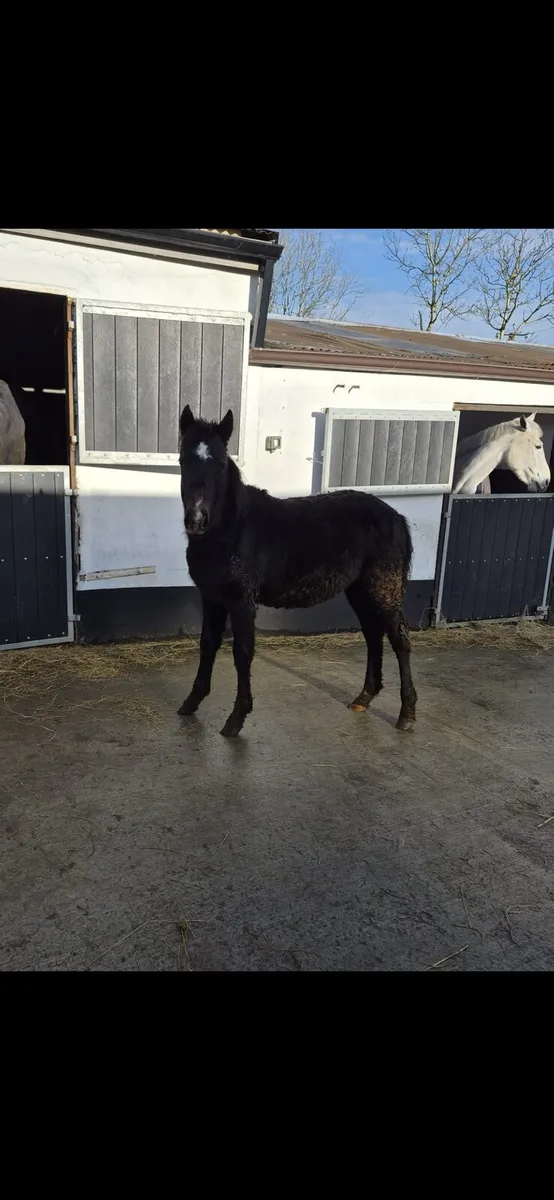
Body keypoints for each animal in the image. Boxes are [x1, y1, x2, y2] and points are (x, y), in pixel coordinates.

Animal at [177, 404, 417, 738]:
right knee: (372, 634)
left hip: (386, 589)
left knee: (399, 640)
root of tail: (395, 517)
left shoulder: (241, 601)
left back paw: (406, 714)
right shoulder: (212, 598)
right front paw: (191, 702)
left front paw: (236, 718)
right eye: (183, 460)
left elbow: (242, 652)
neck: (233, 529)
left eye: (222, 464)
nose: (197, 520)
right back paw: (364, 698)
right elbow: (208, 646)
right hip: (359, 590)